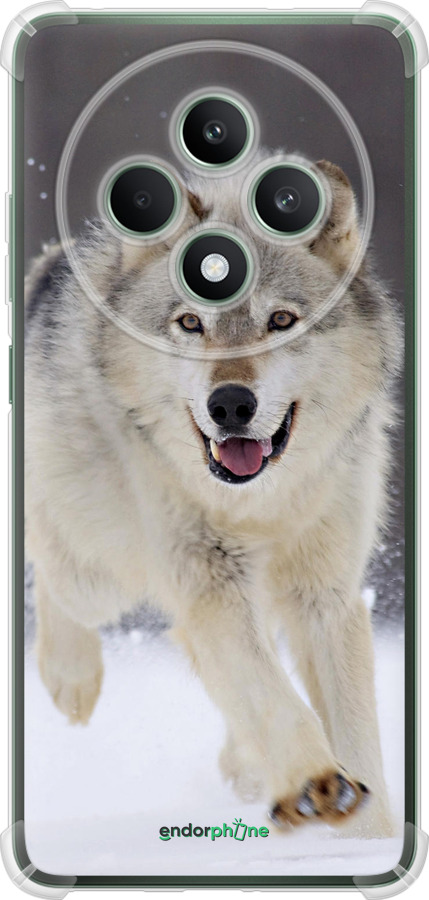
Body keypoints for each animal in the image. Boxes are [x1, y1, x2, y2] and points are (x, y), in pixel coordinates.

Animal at [25, 155, 401, 837]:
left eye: (280, 321)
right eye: (190, 323)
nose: (230, 405)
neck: (261, 503)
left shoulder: (325, 594)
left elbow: (355, 733)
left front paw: (370, 838)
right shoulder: (209, 580)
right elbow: (271, 694)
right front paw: (316, 783)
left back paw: (247, 766)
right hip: (100, 574)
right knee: (51, 566)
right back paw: (72, 678)